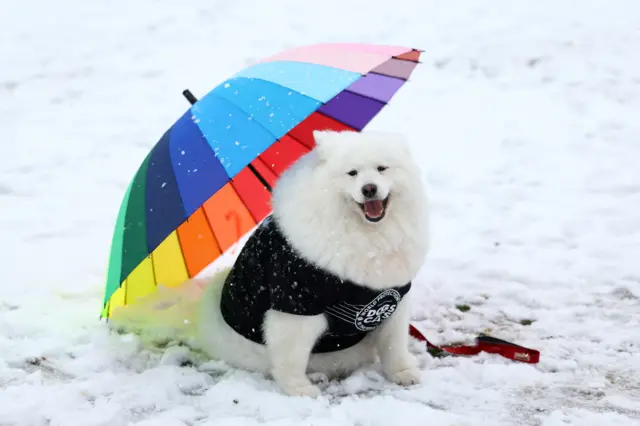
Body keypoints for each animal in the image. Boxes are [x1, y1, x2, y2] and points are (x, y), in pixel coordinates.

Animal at [110, 129, 430, 396]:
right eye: (352, 173)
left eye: (382, 168)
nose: (369, 188)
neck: (368, 236)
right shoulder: (296, 305)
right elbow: (291, 358)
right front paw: (299, 390)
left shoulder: (394, 299)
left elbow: (394, 345)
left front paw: (403, 373)